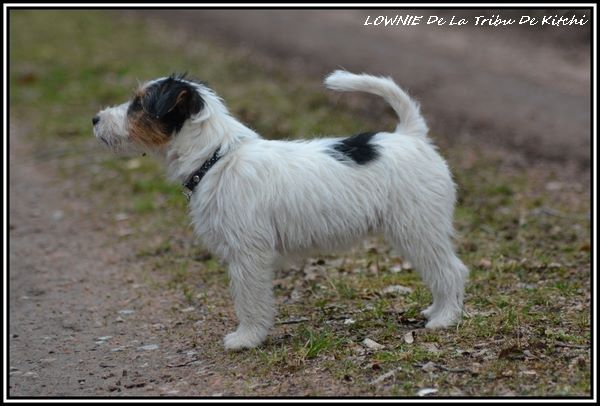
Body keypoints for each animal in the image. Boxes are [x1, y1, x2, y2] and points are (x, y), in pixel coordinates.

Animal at [92, 71, 468, 350]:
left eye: (139, 104)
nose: (95, 119)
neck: (217, 157)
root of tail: (412, 136)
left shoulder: (248, 254)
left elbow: (249, 300)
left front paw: (246, 338)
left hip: (418, 229)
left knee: (451, 270)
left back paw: (444, 319)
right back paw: (435, 310)